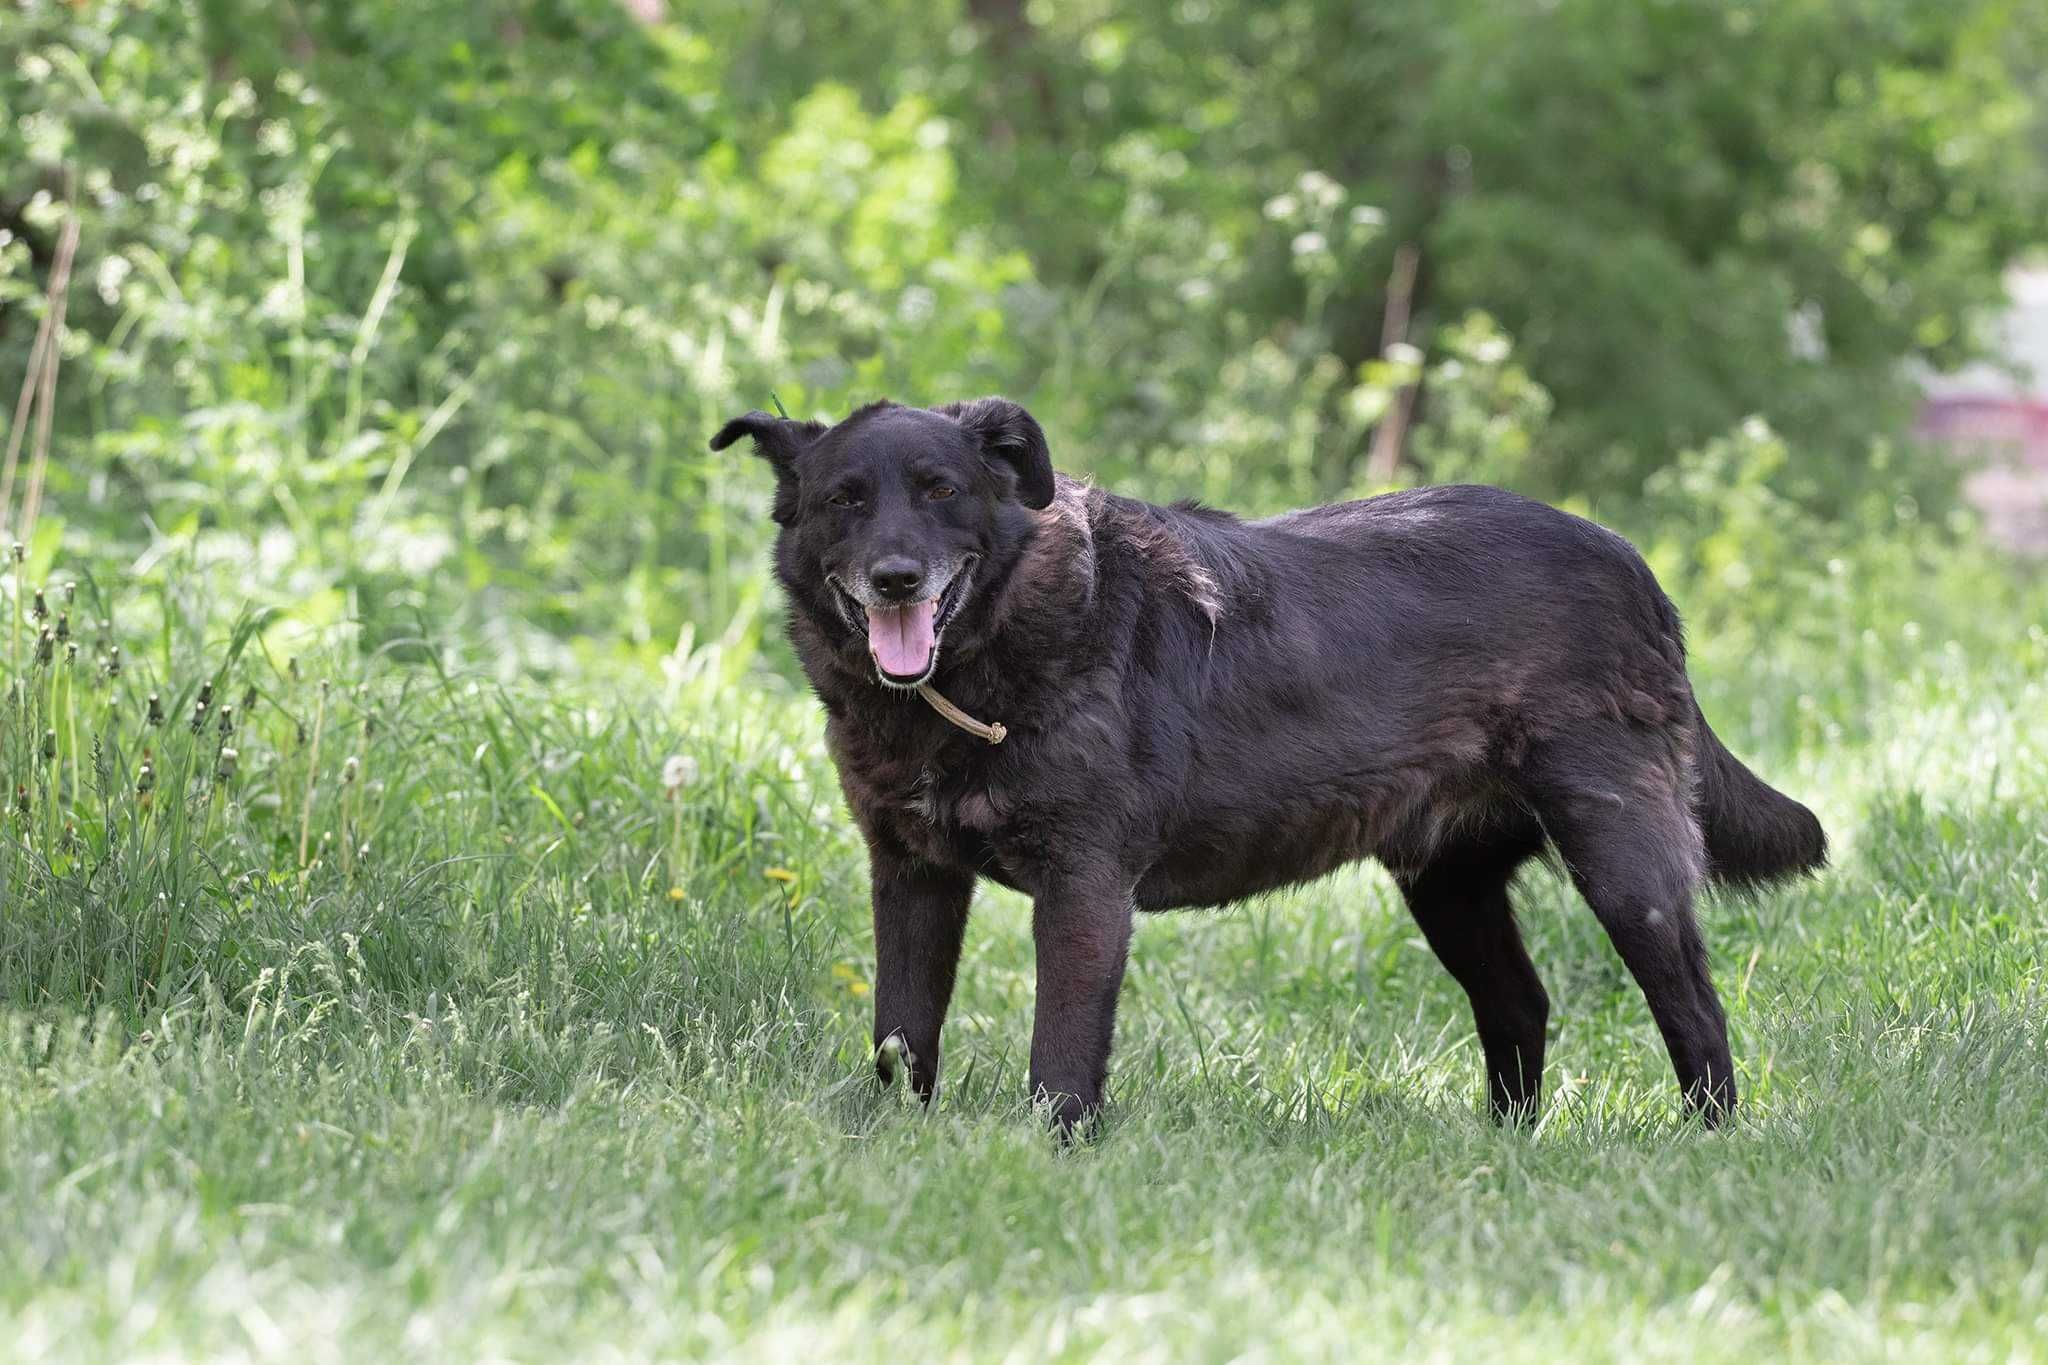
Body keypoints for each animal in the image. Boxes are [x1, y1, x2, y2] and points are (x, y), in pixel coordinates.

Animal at [716, 397, 1826, 1129]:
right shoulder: (911, 876)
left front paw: (1048, 1160)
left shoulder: (1084, 886)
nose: (896, 577)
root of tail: (1633, 563)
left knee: (1694, 1010)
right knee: (1521, 1004)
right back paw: (1504, 1148)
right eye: (845, 501)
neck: (977, 674)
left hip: (1624, 861)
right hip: (1448, 883)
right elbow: (901, 1036)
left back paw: (1706, 1143)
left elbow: (1060, 1059)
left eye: (941, 492)